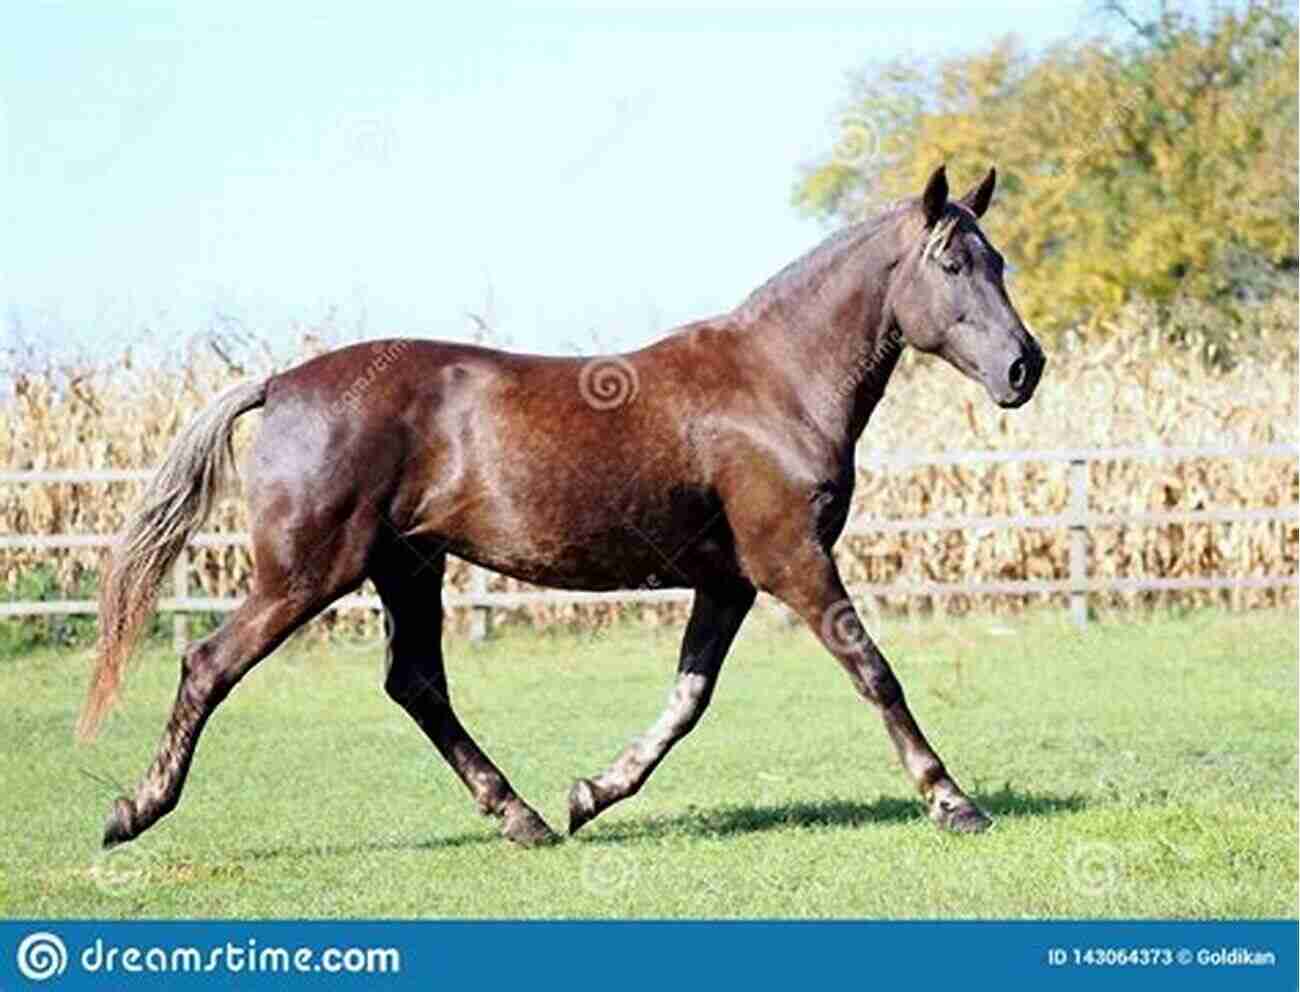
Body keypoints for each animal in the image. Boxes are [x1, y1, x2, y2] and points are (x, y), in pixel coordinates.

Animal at [78, 163, 1045, 847]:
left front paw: (592, 794)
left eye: (999, 260)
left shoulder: (728, 580)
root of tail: (279, 384)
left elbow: (688, 697)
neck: (774, 382)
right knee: (209, 664)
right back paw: (133, 811)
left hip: (407, 567)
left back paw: (526, 819)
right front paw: (952, 801)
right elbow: (873, 669)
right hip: (307, 573)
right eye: (953, 263)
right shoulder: (792, 560)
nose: (1023, 367)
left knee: (415, 684)